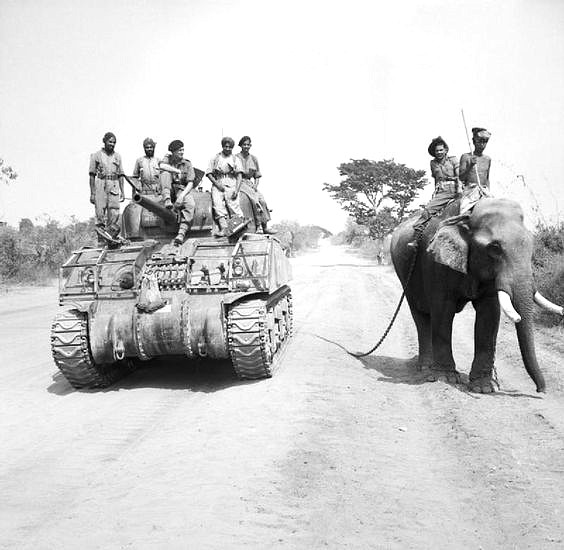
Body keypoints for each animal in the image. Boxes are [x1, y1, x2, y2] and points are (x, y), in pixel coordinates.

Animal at [390, 196, 560, 394]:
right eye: (494, 248)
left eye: (531, 242)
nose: (541, 390)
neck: (467, 217)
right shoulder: (435, 263)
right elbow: (443, 310)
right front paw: (446, 378)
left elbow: (489, 314)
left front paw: (484, 387)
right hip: (405, 275)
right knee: (421, 316)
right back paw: (426, 369)